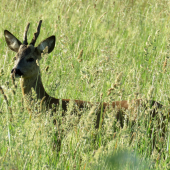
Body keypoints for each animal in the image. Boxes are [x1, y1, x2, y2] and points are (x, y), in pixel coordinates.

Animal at [3, 20, 167, 150]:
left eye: (31, 58)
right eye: (15, 57)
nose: (15, 70)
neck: (48, 103)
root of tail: (164, 109)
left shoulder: (58, 135)